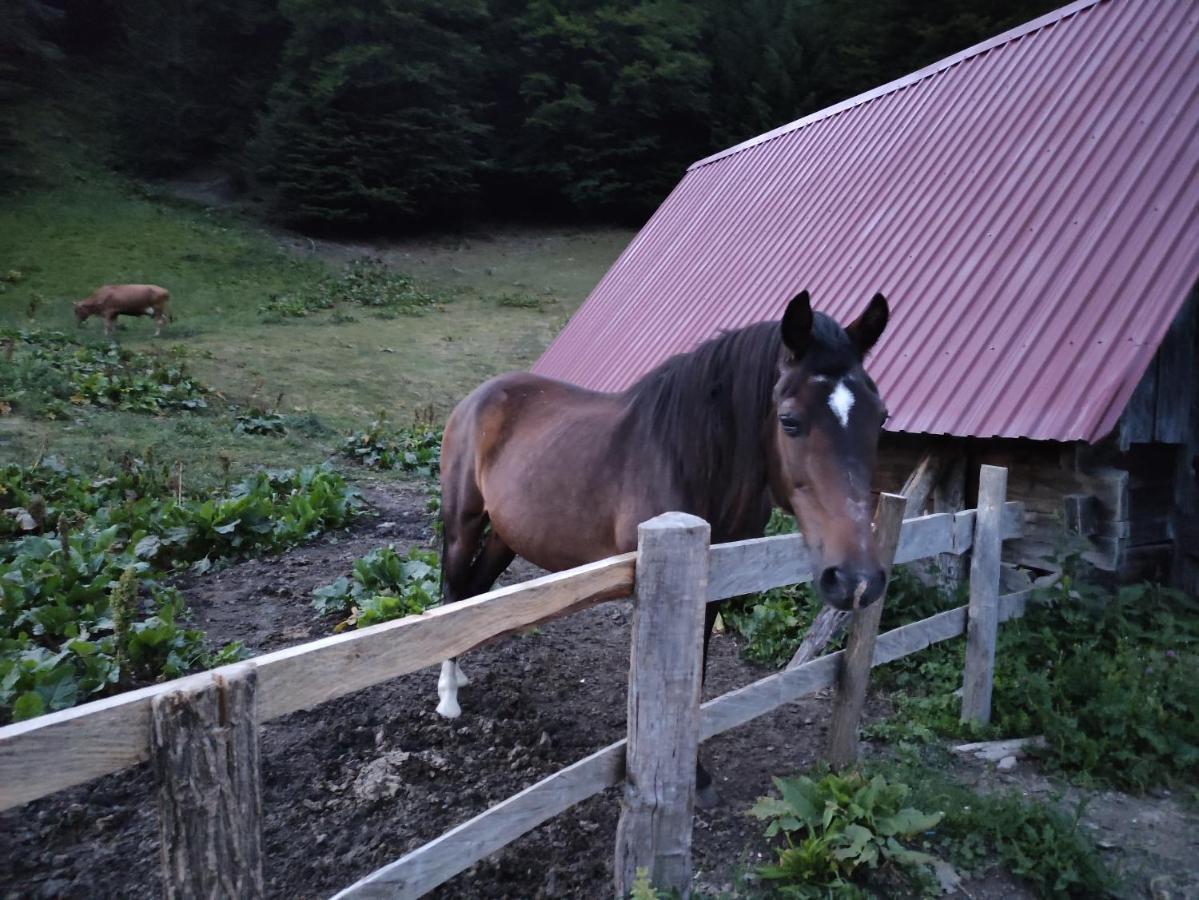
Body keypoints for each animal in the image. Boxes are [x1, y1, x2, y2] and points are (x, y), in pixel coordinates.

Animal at [436, 290, 887, 800]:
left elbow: (698, 673)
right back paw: (448, 697)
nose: (856, 580)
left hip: (506, 534)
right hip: (464, 523)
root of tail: (478, 397)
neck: (689, 459)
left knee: (474, 592)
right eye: (790, 421)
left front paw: (697, 772)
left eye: (881, 418)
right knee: (453, 592)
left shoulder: (713, 587)